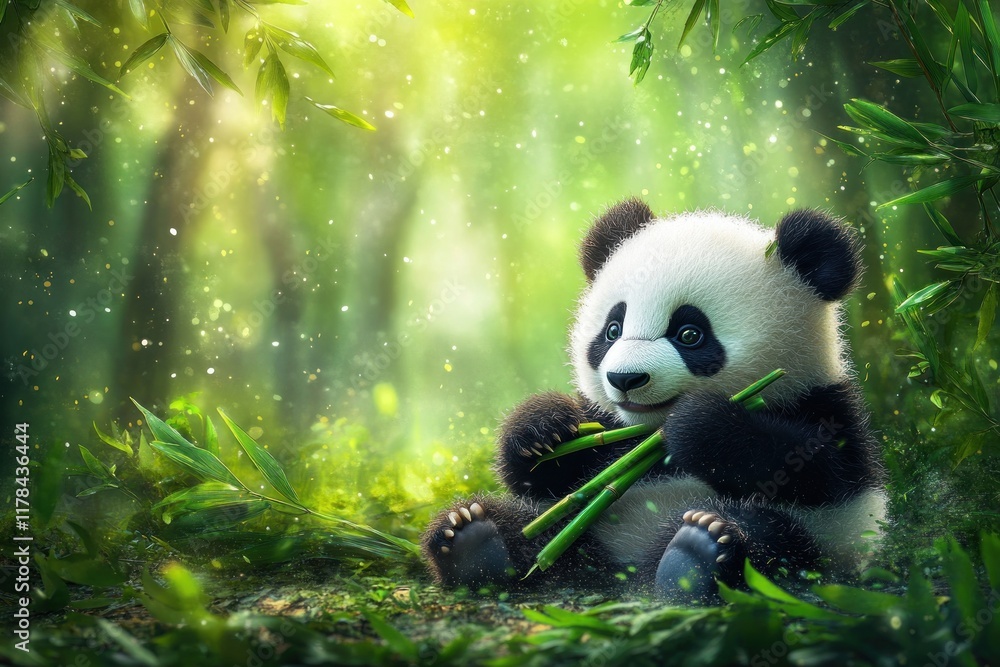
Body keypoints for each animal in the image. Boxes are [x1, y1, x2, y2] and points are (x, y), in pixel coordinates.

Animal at [422, 199, 886, 601]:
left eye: (690, 334)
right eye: (613, 329)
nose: (625, 379)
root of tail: (622, 572)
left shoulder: (826, 407)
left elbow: (820, 470)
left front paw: (698, 425)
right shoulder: (609, 426)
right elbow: (541, 475)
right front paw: (542, 430)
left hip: (820, 544)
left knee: (770, 536)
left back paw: (695, 553)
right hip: (581, 529)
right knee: (538, 526)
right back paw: (473, 541)